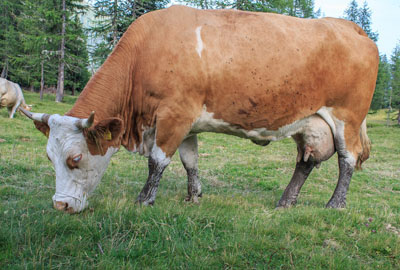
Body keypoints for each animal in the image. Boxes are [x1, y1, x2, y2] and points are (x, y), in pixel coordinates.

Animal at [20, 5, 380, 213]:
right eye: (49, 157)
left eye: (75, 158)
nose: (60, 205)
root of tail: (350, 27)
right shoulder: (186, 122)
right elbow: (189, 160)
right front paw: (193, 197)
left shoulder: (174, 115)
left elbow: (157, 162)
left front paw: (144, 200)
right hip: (309, 122)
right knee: (305, 163)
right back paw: (285, 202)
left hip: (347, 118)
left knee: (347, 160)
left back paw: (335, 205)